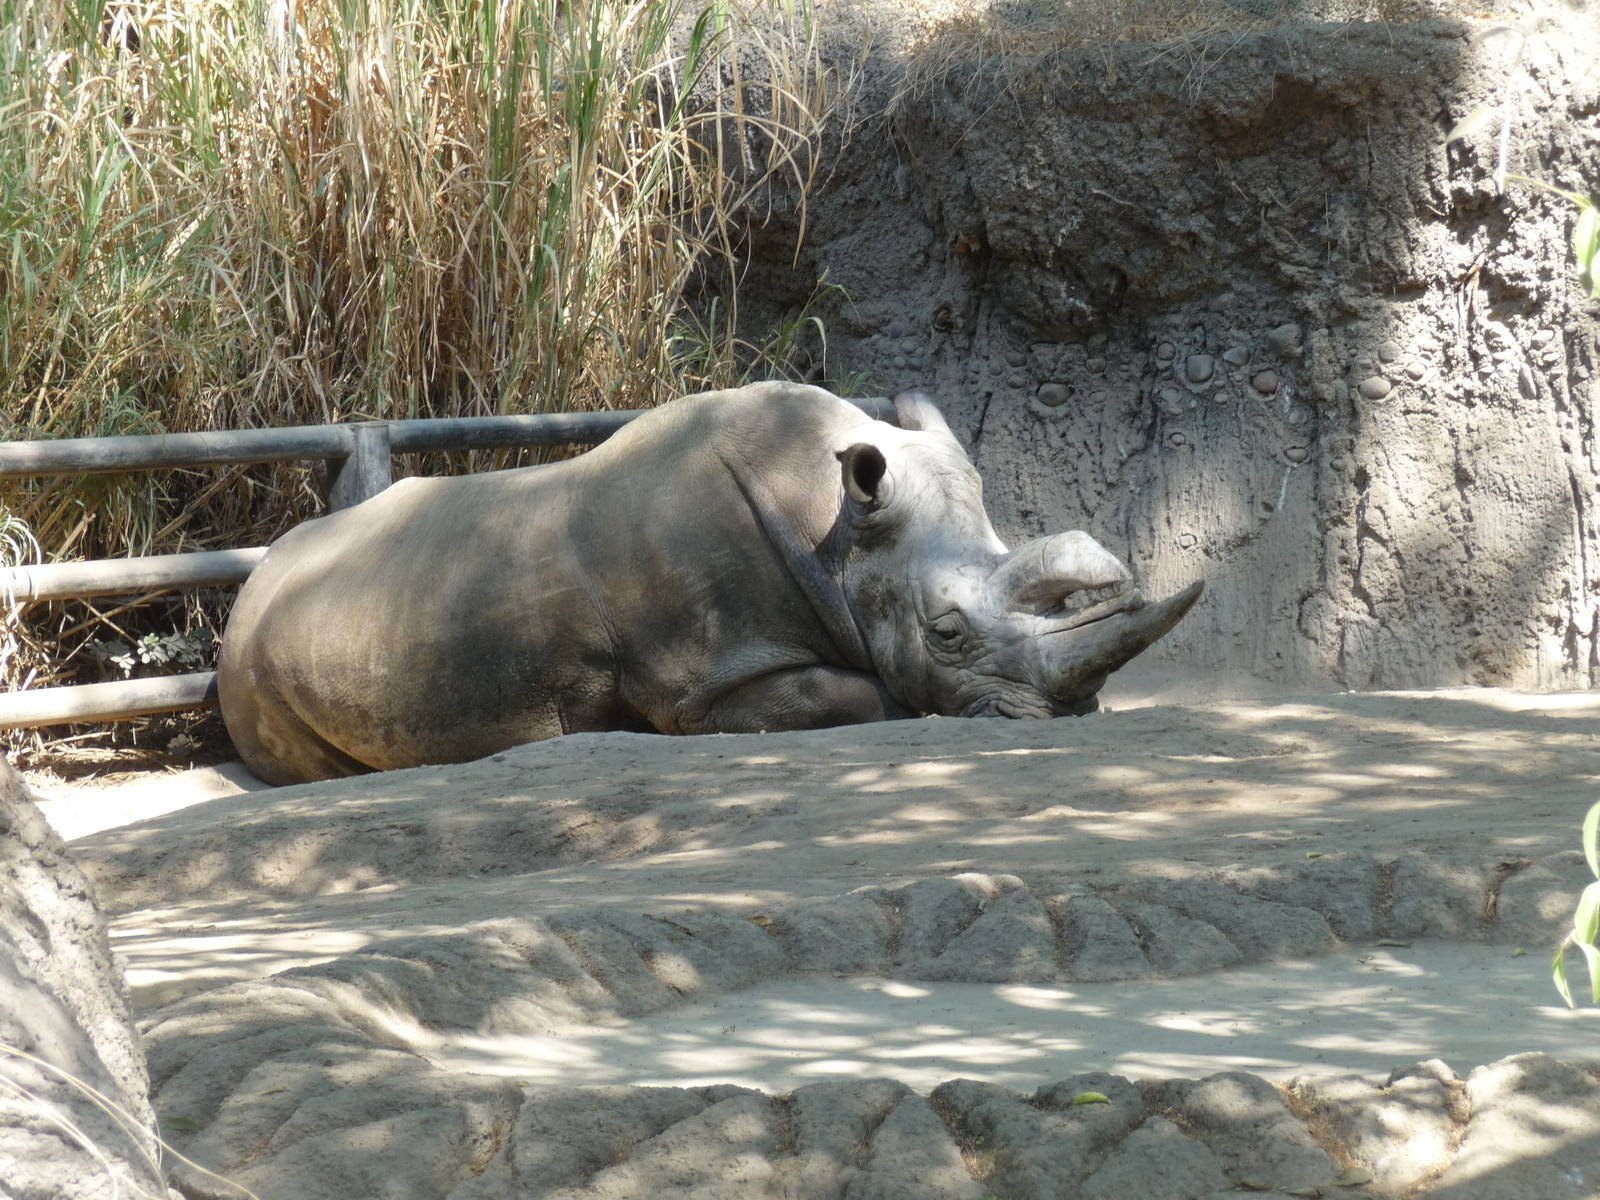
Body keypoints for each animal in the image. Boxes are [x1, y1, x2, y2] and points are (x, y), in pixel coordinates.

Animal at [219, 383, 1202, 784]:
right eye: (948, 634)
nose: (1071, 714)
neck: (834, 529)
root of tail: (254, 581)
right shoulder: (708, 684)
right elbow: (860, 693)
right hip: (253, 671)